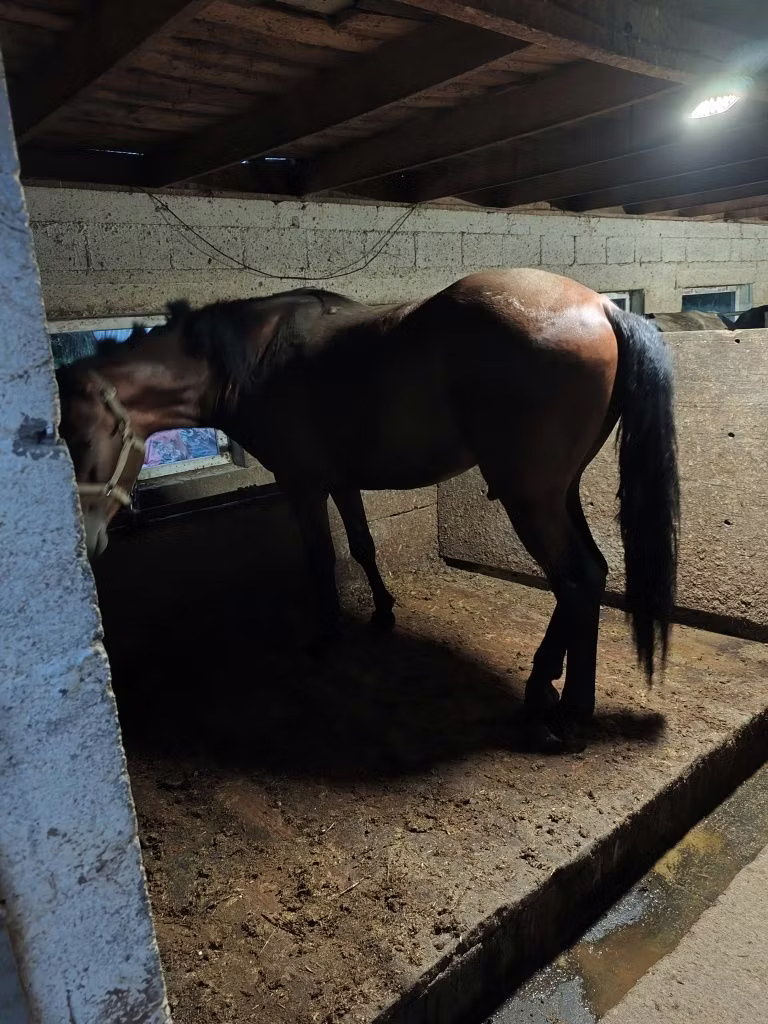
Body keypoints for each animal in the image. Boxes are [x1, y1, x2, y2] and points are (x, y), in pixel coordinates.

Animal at [56, 268, 679, 746]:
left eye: (80, 439)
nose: (85, 541)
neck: (257, 357)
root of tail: (602, 308)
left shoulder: (303, 484)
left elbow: (321, 558)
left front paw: (328, 633)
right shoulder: (341, 481)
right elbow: (361, 544)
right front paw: (382, 611)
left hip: (531, 499)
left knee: (575, 579)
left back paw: (546, 698)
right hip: (559, 491)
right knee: (592, 575)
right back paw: (573, 700)